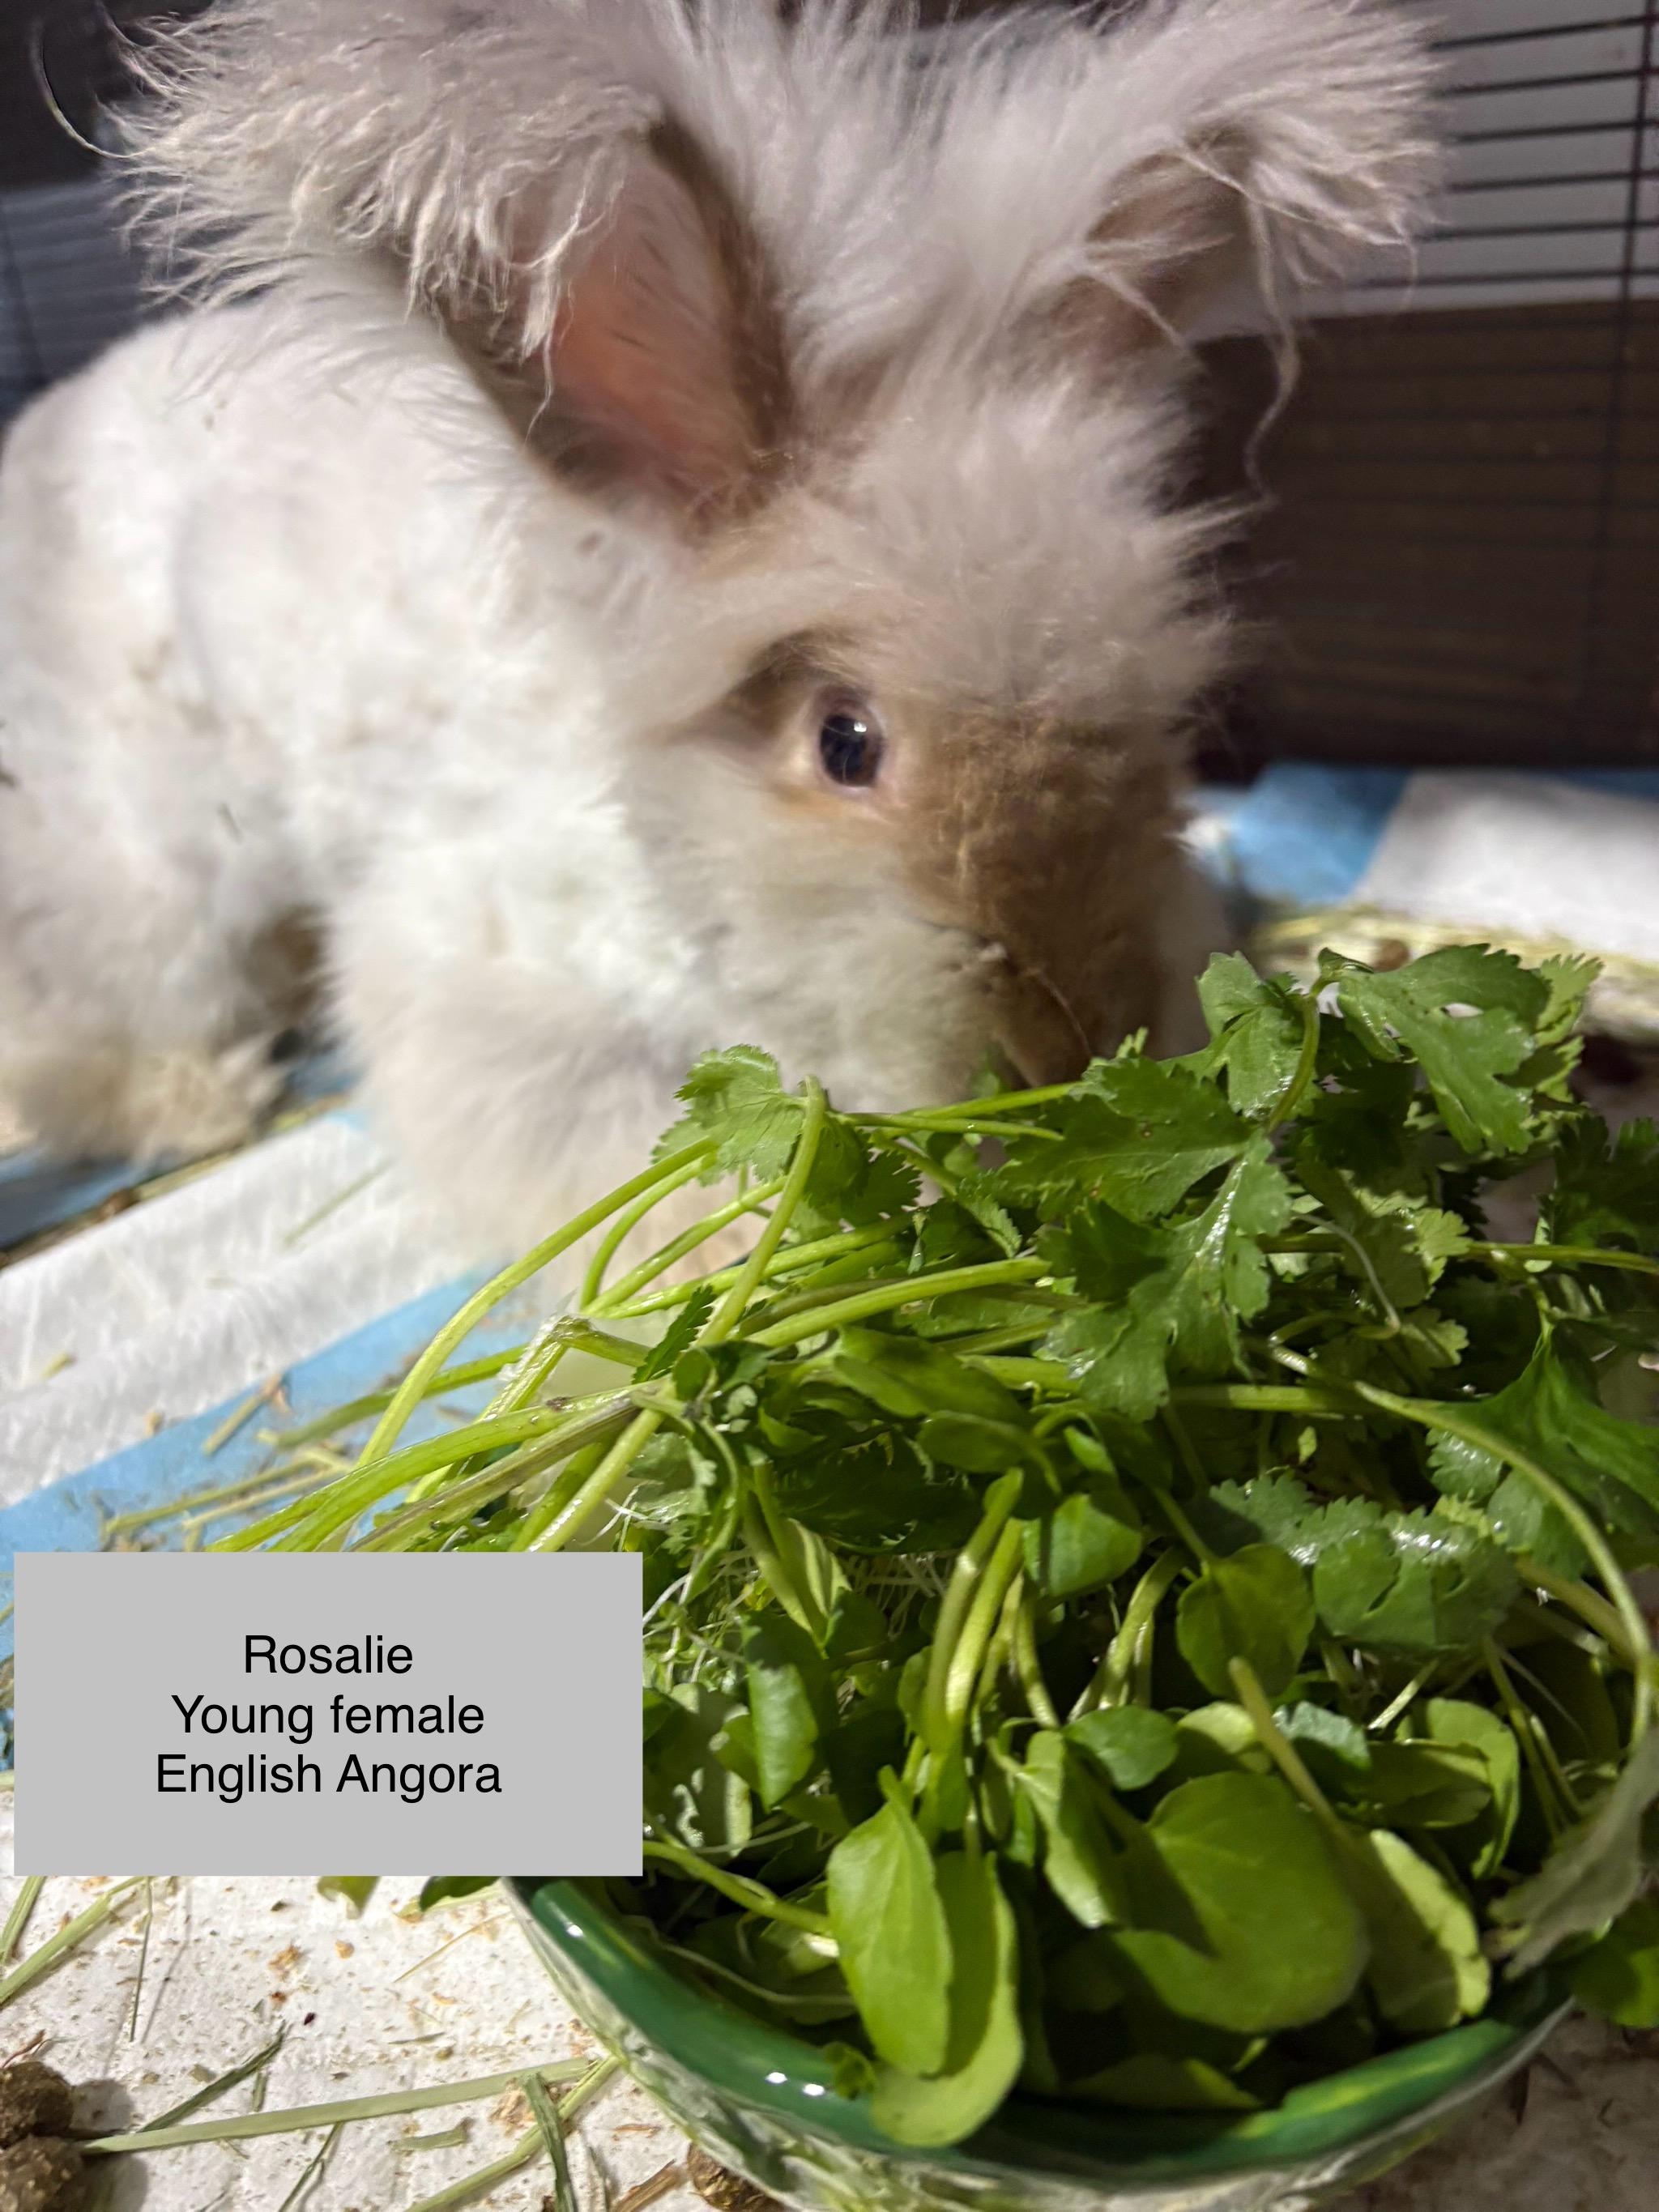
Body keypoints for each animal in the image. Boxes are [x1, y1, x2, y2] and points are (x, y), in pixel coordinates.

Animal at [0, 0, 1436, 1267]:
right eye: (846, 742)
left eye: (1161, 723)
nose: (1074, 1039)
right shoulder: (480, 983)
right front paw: (755, 1246)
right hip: (149, 859)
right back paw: (201, 1098)